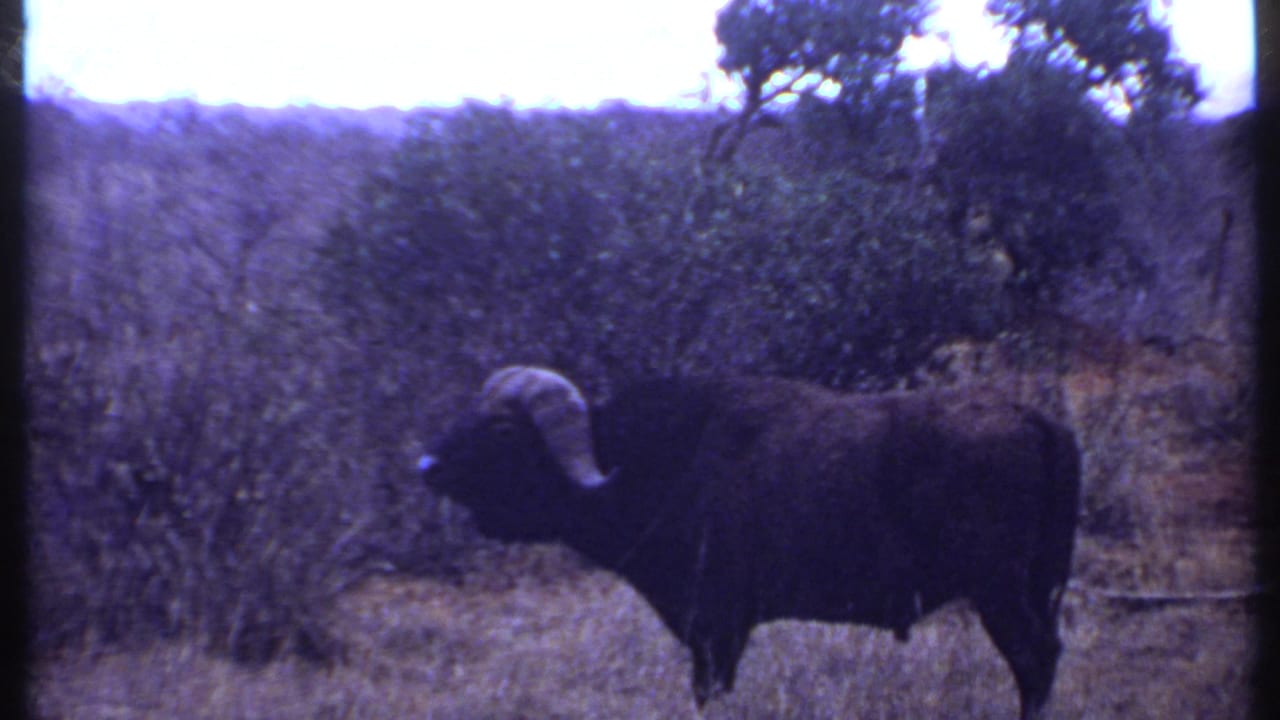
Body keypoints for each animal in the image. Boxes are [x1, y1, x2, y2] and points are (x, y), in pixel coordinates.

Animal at [419, 366, 1081, 719]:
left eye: (502, 428)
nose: (427, 464)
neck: (662, 460)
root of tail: (1036, 419)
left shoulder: (715, 633)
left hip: (1001, 595)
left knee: (1033, 660)